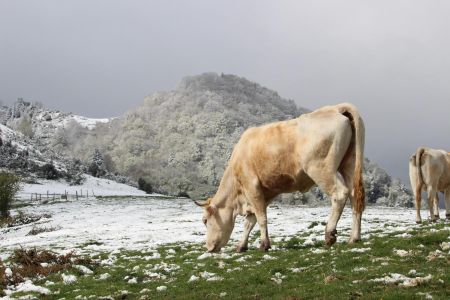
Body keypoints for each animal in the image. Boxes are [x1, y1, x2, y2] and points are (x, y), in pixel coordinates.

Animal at [195, 102, 364, 252]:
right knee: (354, 197)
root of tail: (335, 108)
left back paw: (329, 235)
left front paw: (264, 244)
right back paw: (353, 238)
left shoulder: (252, 186)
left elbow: (261, 218)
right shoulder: (265, 192)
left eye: (205, 220)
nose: (208, 248)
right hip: (349, 165)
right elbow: (250, 222)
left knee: (340, 194)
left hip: (321, 169)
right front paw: (242, 246)